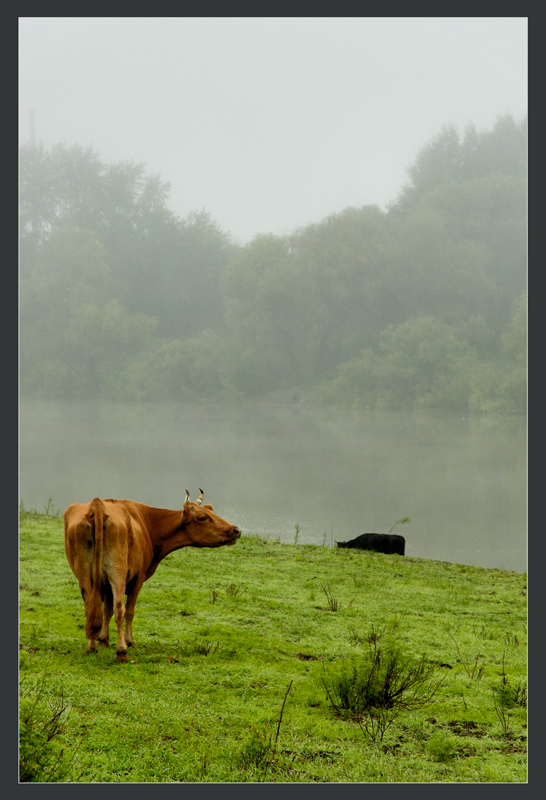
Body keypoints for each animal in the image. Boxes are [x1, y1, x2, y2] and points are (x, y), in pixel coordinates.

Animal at [63, 488, 238, 664]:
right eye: (203, 517)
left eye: (212, 512)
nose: (235, 530)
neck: (148, 524)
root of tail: (97, 504)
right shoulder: (138, 577)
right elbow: (128, 611)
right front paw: (129, 642)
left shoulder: (104, 583)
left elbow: (107, 610)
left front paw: (103, 640)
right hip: (117, 571)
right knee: (120, 608)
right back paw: (122, 652)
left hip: (84, 574)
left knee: (90, 607)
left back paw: (91, 647)